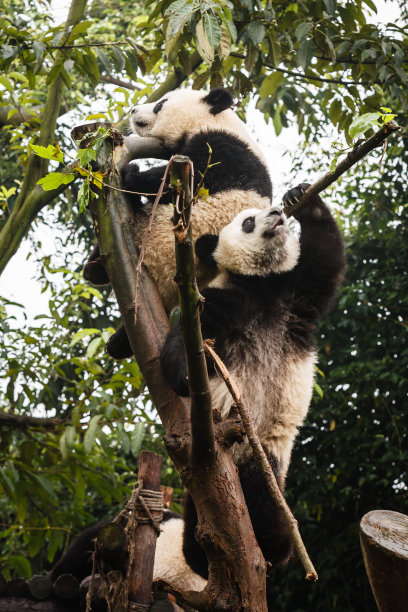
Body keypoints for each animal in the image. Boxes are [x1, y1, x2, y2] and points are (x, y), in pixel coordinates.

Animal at [159, 183, 344, 580]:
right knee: (201, 514)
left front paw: (302, 198)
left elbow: (326, 261)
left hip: (268, 458)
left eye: (271, 210)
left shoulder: (296, 297)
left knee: (266, 501)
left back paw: (276, 548)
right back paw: (200, 555)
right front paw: (184, 375)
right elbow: (191, 332)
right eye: (246, 221)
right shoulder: (226, 299)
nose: (275, 214)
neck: (262, 285)